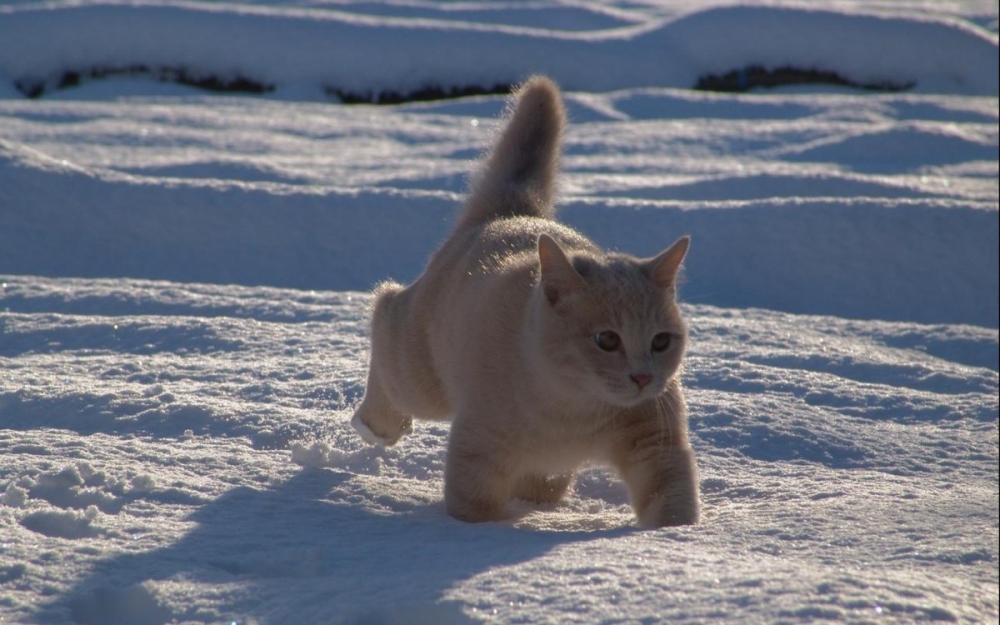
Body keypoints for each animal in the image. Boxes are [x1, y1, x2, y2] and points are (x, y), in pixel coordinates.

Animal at [350, 77, 696, 528]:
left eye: (660, 341)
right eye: (606, 340)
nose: (642, 377)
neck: (576, 409)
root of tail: (512, 213)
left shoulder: (656, 440)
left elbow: (673, 499)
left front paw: (675, 538)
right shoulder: (479, 446)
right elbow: (474, 509)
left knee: (543, 483)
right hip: (420, 374)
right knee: (385, 310)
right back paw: (376, 424)